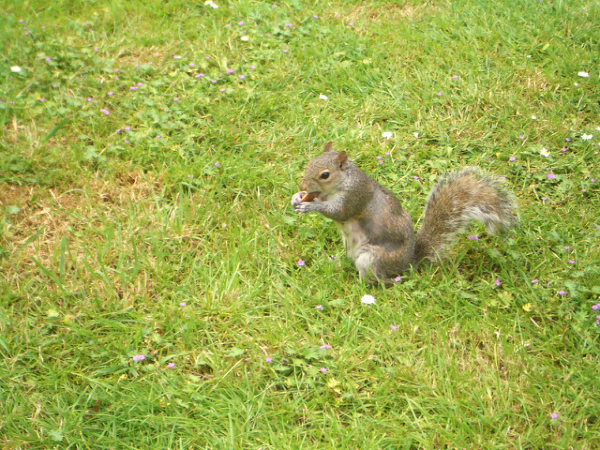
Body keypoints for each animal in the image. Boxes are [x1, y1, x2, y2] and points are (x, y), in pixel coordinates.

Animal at [290, 142, 516, 286]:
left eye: (325, 175)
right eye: (309, 163)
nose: (302, 185)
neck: (342, 183)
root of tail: (408, 263)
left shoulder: (356, 196)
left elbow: (341, 212)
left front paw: (311, 207)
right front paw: (297, 197)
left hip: (372, 257)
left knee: (379, 280)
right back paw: (335, 263)